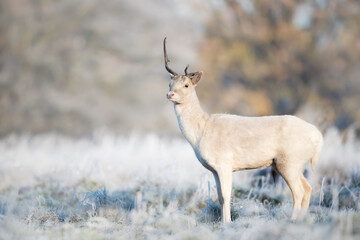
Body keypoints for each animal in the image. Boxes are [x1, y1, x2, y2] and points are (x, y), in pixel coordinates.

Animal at [163, 37, 324, 223]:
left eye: (187, 85)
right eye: (170, 83)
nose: (170, 94)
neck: (201, 132)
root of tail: (318, 136)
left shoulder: (224, 162)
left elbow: (226, 195)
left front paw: (227, 223)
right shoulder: (214, 169)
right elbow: (219, 196)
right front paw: (224, 221)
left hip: (290, 160)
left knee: (299, 191)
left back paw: (292, 220)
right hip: (293, 163)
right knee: (308, 188)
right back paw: (302, 219)